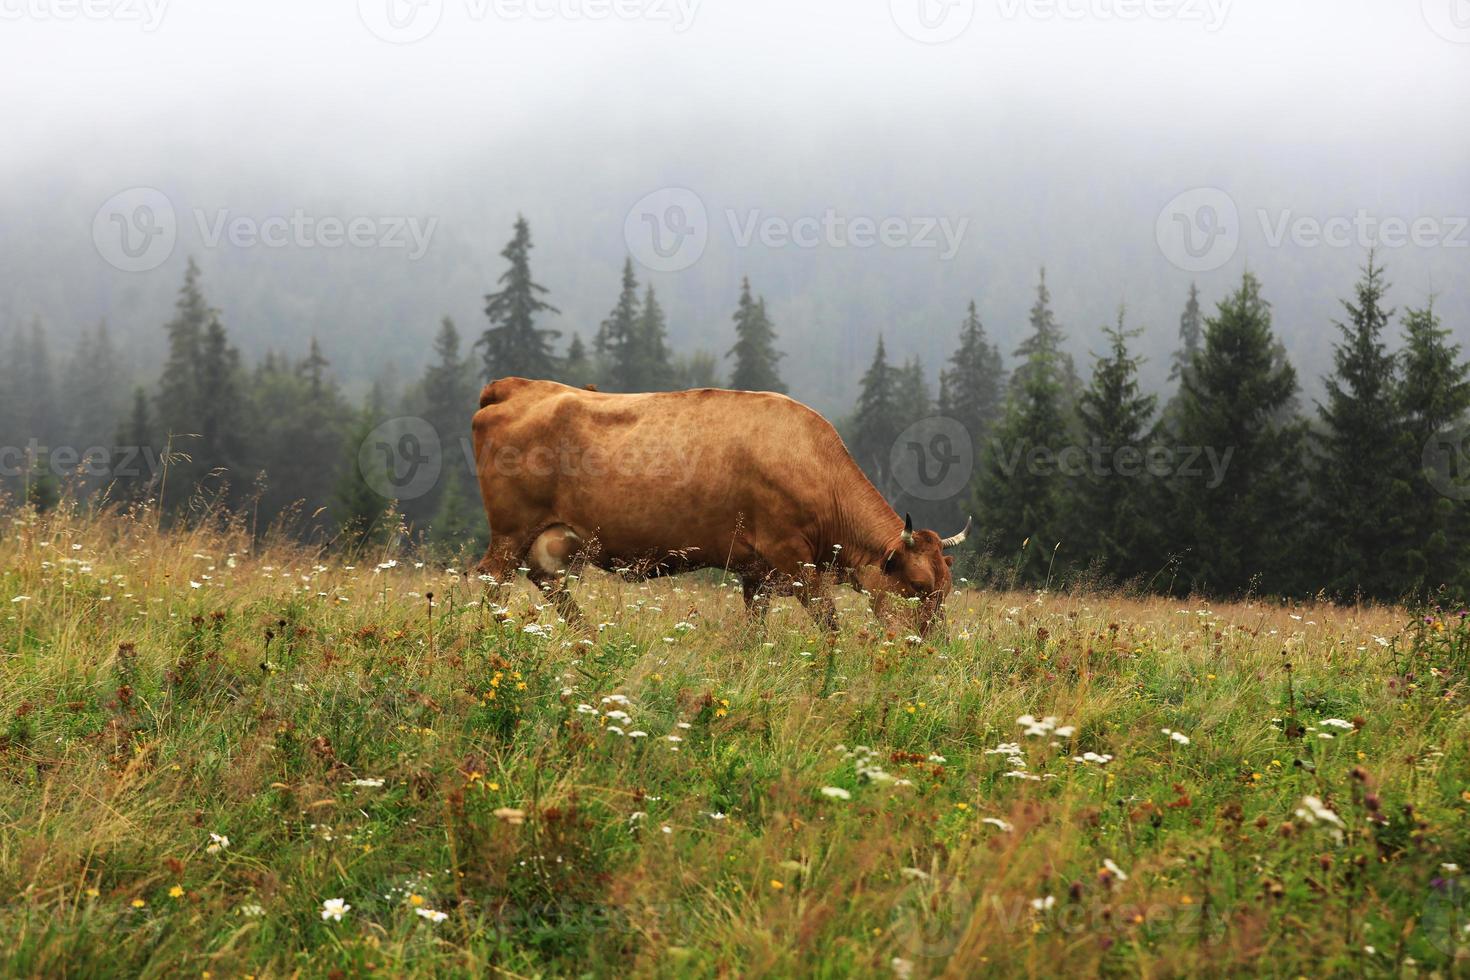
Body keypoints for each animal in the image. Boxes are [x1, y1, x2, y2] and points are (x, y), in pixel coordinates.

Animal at [476, 376, 970, 637]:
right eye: (920, 586)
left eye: (946, 590)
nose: (931, 645)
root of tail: (517, 387)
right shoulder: (793, 558)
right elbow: (828, 621)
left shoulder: (758, 572)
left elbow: (755, 629)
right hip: (509, 534)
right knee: (493, 582)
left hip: (549, 538)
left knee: (547, 581)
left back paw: (587, 636)